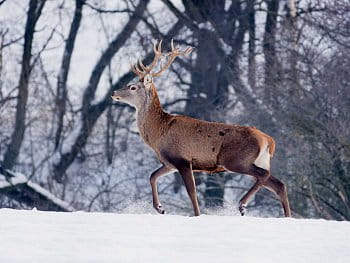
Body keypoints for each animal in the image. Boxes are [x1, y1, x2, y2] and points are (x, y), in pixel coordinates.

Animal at [112, 40, 292, 218]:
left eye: (132, 87)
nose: (113, 92)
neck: (159, 132)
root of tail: (269, 140)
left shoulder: (182, 159)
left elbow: (191, 191)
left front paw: (197, 215)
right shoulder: (169, 163)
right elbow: (152, 176)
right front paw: (160, 208)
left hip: (236, 159)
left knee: (264, 176)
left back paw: (242, 205)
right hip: (259, 160)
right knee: (279, 184)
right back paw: (286, 216)